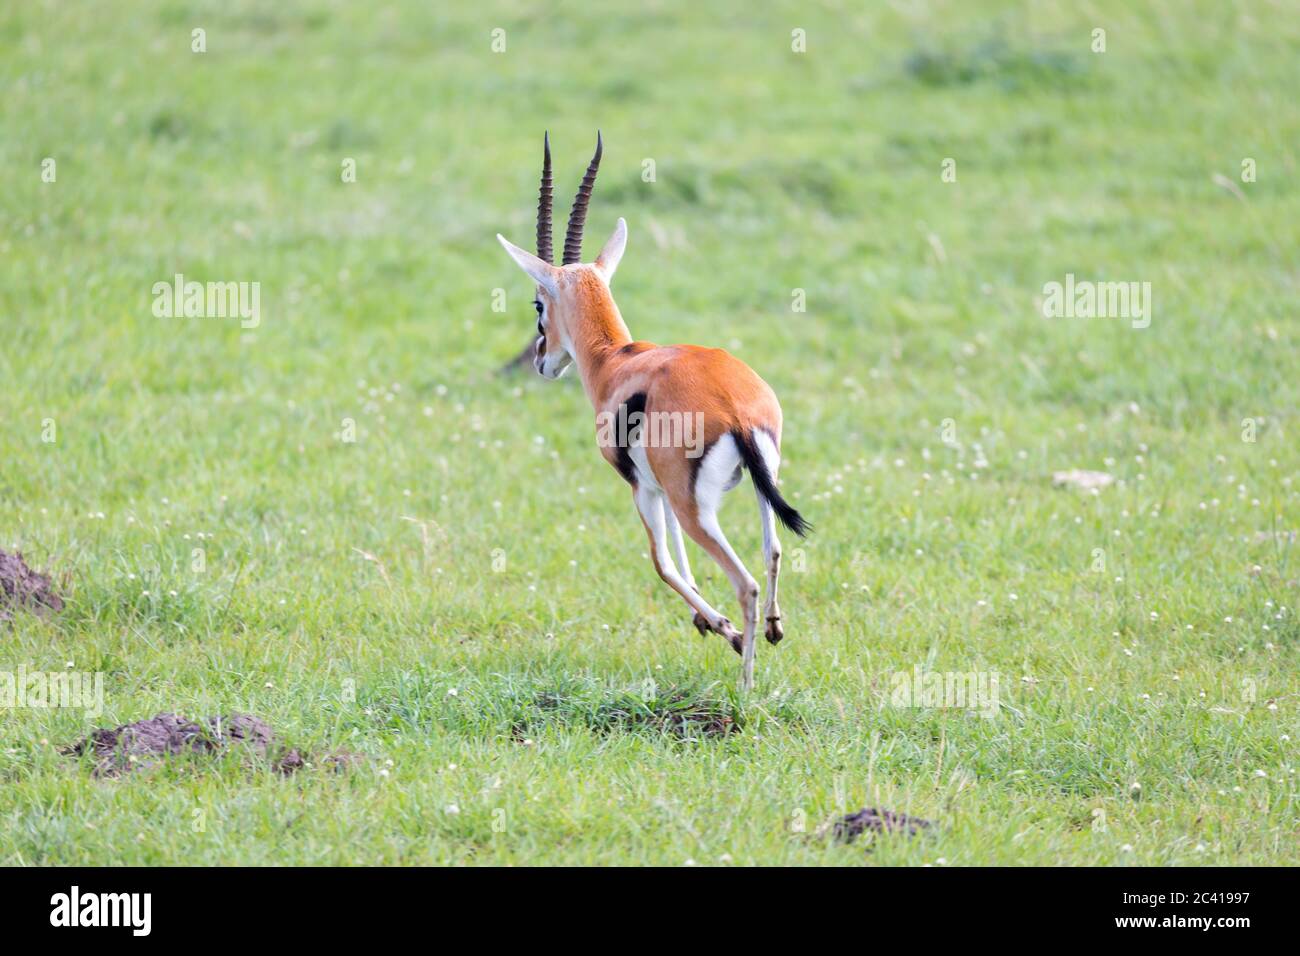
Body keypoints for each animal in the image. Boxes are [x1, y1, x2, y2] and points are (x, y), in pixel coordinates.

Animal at [497, 133, 810, 690]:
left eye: (538, 304)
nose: (540, 361)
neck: (617, 360)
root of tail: (735, 411)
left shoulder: (642, 487)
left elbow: (661, 563)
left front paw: (722, 629)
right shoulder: (662, 487)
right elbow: (682, 562)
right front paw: (707, 621)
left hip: (696, 507)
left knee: (746, 582)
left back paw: (746, 680)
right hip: (751, 487)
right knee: (773, 550)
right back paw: (773, 630)